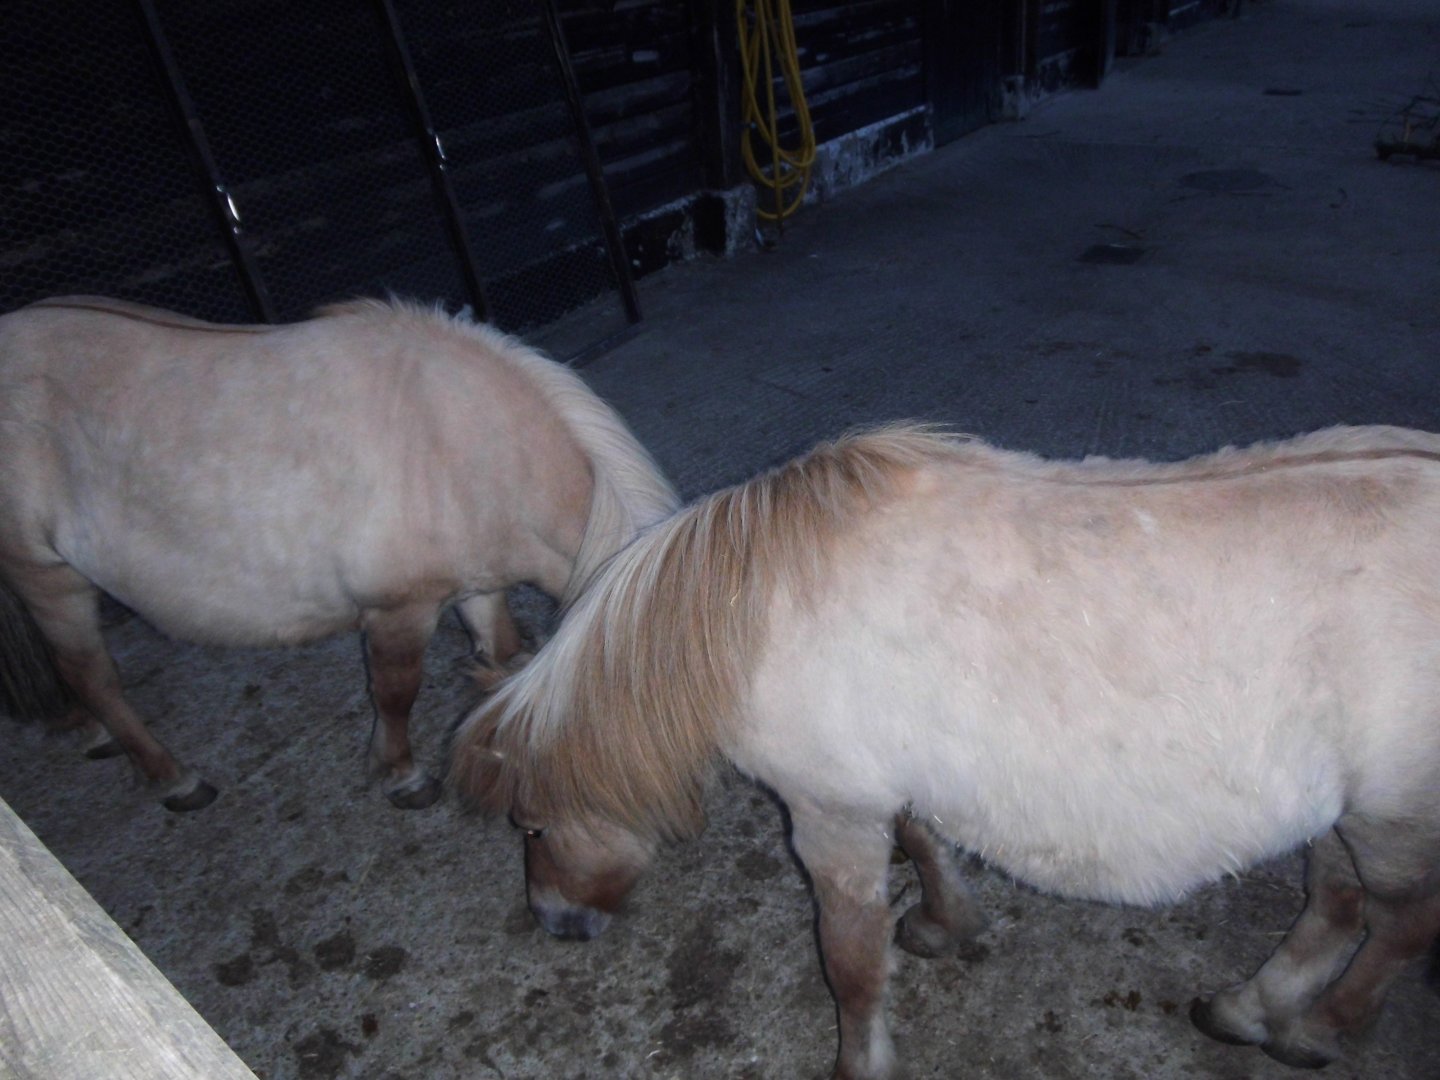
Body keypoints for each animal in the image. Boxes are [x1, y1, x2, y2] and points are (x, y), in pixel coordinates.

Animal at [0, 296, 677, 812]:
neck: (460, 443)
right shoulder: (399, 609)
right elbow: (396, 692)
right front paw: (402, 775)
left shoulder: (478, 586)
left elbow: (504, 653)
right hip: (47, 578)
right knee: (89, 673)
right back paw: (173, 778)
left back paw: (94, 733)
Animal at [452, 423, 1440, 1080]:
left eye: (530, 828)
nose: (555, 924)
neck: (746, 605)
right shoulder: (888, 785)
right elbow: (925, 842)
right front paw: (945, 922)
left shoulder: (830, 816)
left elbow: (852, 965)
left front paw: (862, 1062)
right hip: (1344, 815)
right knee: (1335, 903)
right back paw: (1251, 1008)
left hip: (1395, 819)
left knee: (1399, 923)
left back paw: (1320, 1029)